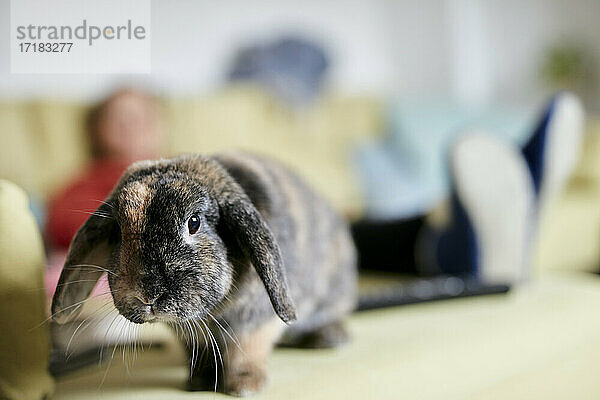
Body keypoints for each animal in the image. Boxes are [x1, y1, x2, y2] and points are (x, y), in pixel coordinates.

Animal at [50, 152, 356, 396]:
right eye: (119, 232)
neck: (209, 315)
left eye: (194, 223)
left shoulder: (256, 321)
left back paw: (329, 338)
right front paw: (198, 382)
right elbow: (201, 354)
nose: (147, 295)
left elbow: (247, 350)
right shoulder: (190, 335)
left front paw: (244, 386)